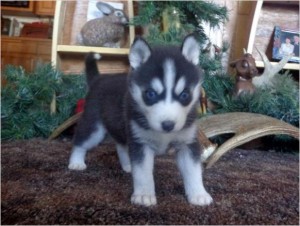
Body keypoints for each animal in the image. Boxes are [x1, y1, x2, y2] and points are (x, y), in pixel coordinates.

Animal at [68, 34, 213, 207]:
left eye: (184, 95)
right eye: (150, 94)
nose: (168, 125)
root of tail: (99, 78)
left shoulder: (187, 143)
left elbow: (193, 170)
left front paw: (198, 194)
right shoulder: (141, 143)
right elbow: (143, 172)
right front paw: (144, 195)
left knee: (121, 146)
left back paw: (127, 165)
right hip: (94, 127)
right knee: (81, 142)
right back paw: (76, 162)